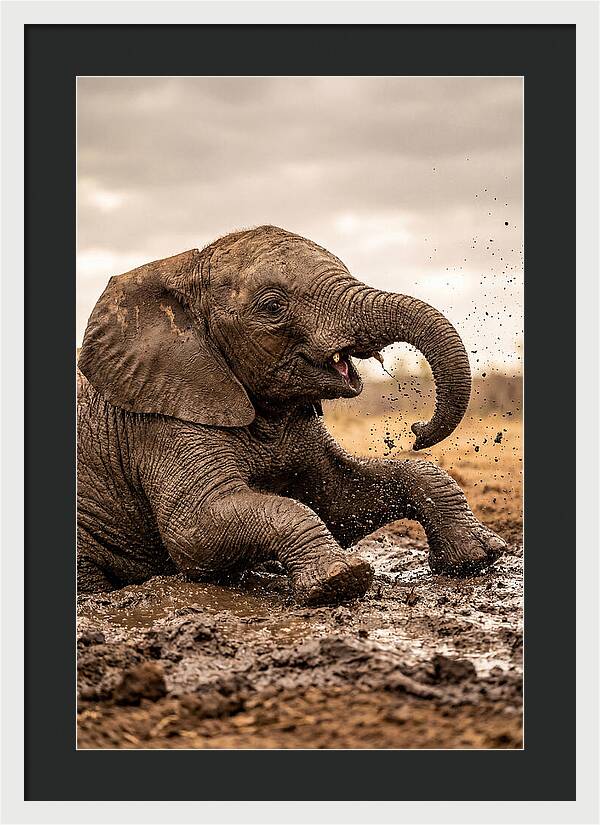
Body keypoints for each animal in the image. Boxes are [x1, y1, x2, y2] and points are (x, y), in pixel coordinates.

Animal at [77, 225, 506, 604]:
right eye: (272, 306)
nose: (417, 431)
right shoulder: (162, 422)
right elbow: (195, 531)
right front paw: (340, 580)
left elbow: (339, 499)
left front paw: (479, 556)